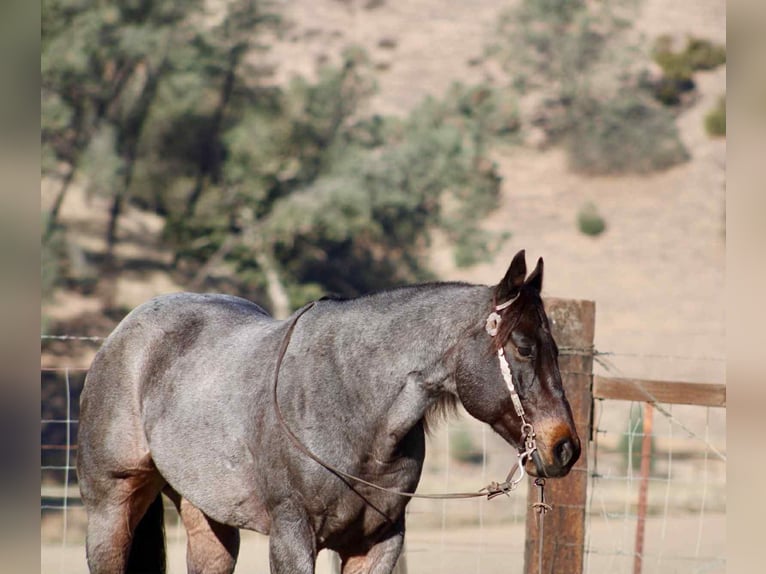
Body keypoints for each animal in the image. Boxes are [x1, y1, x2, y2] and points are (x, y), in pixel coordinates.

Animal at [77, 249, 580, 574]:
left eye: (555, 348)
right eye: (523, 347)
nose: (565, 448)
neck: (354, 402)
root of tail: (124, 332)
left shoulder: (377, 544)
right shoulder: (292, 538)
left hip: (206, 515)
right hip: (110, 508)